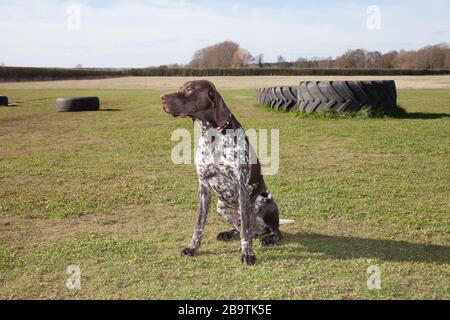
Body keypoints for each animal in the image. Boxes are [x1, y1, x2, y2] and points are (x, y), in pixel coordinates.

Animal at [162, 80, 282, 264]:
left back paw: (268, 238)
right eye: (182, 87)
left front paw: (247, 254)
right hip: (221, 207)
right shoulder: (203, 188)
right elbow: (199, 225)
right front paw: (192, 248)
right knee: (242, 228)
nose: (162, 98)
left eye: (190, 89)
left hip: (263, 202)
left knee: (271, 231)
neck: (212, 136)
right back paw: (229, 233)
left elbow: (245, 230)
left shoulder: (241, 187)